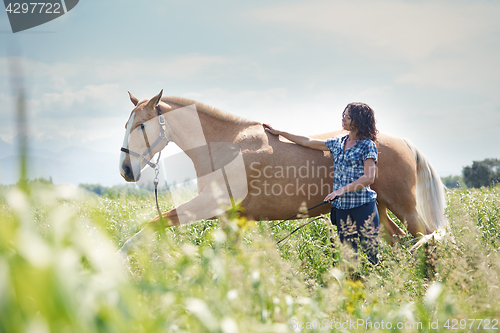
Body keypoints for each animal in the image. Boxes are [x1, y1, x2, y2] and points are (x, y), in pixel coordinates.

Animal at [117, 89, 446, 253]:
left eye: (141, 125)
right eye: (127, 124)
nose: (125, 170)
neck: (224, 145)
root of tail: (403, 142)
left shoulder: (208, 205)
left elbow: (153, 224)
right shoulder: (230, 217)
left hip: (405, 207)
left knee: (426, 238)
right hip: (378, 208)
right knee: (397, 241)